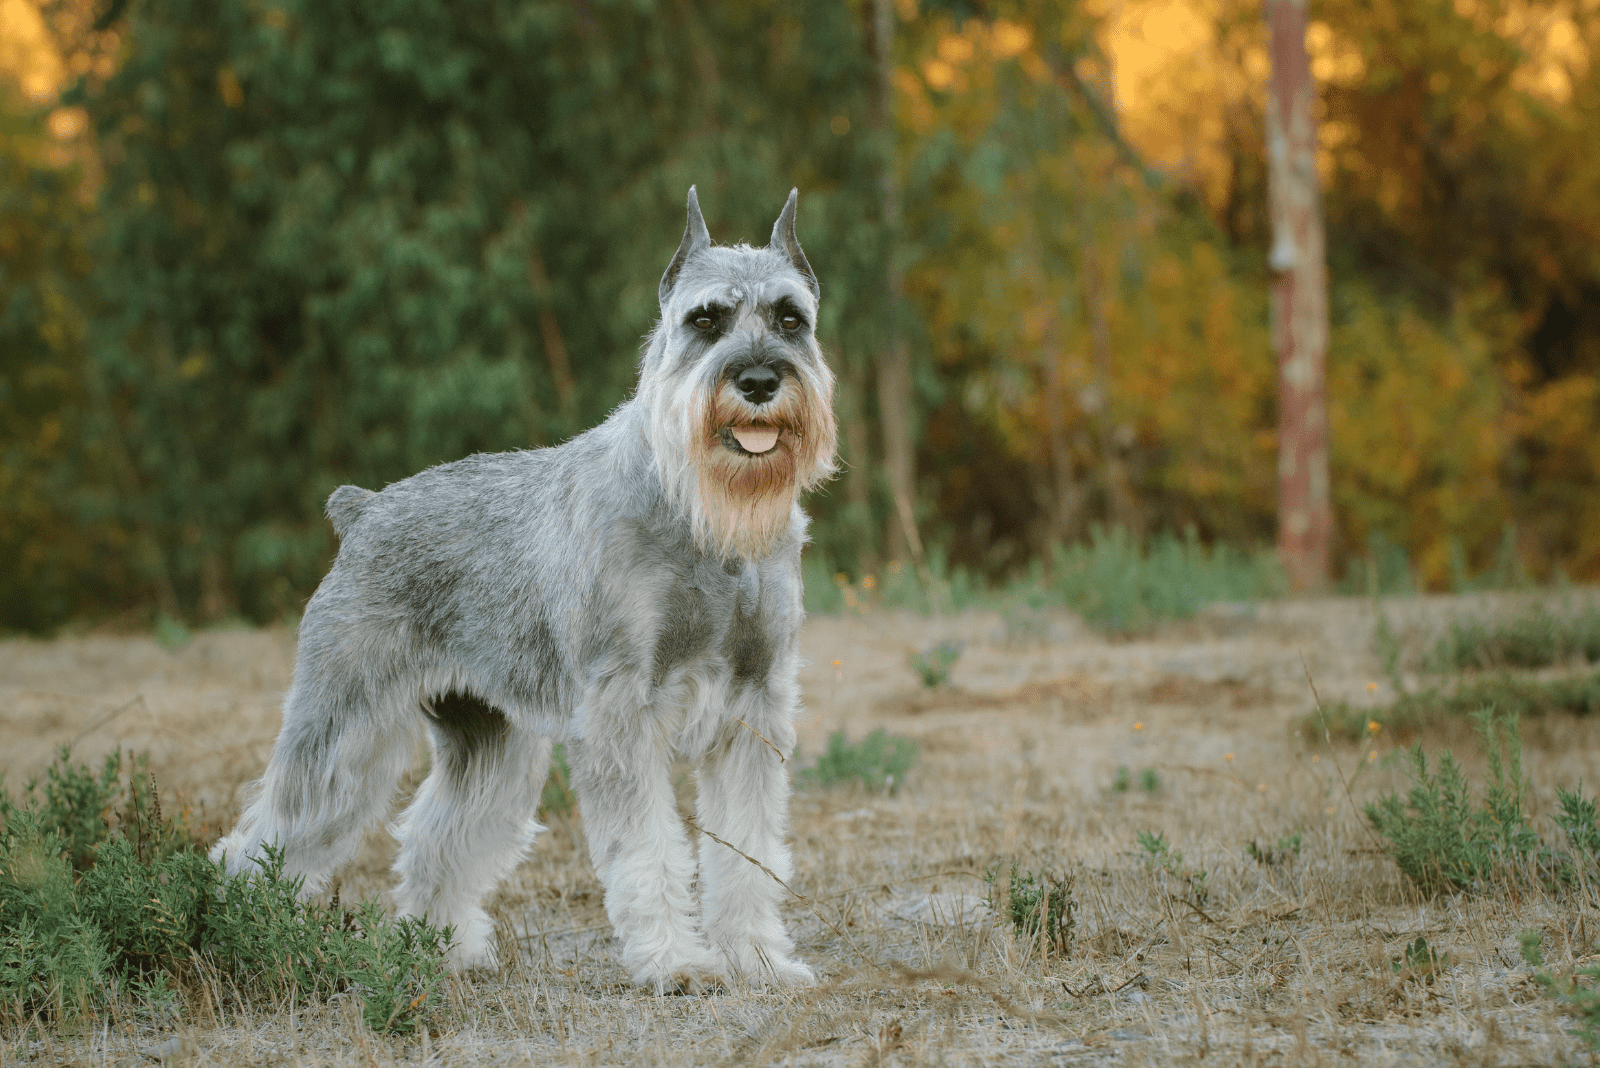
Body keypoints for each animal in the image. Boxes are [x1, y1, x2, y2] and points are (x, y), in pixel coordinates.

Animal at [212, 185, 838, 991]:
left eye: (791, 318)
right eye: (705, 321)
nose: (759, 380)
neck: (699, 513)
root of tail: (362, 510)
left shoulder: (753, 705)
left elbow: (747, 849)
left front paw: (758, 958)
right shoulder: (620, 709)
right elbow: (649, 850)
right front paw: (675, 963)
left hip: (491, 740)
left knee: (436, 837)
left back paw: (445, 947)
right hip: (345, 726)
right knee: (268, 832)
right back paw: (248, 935)